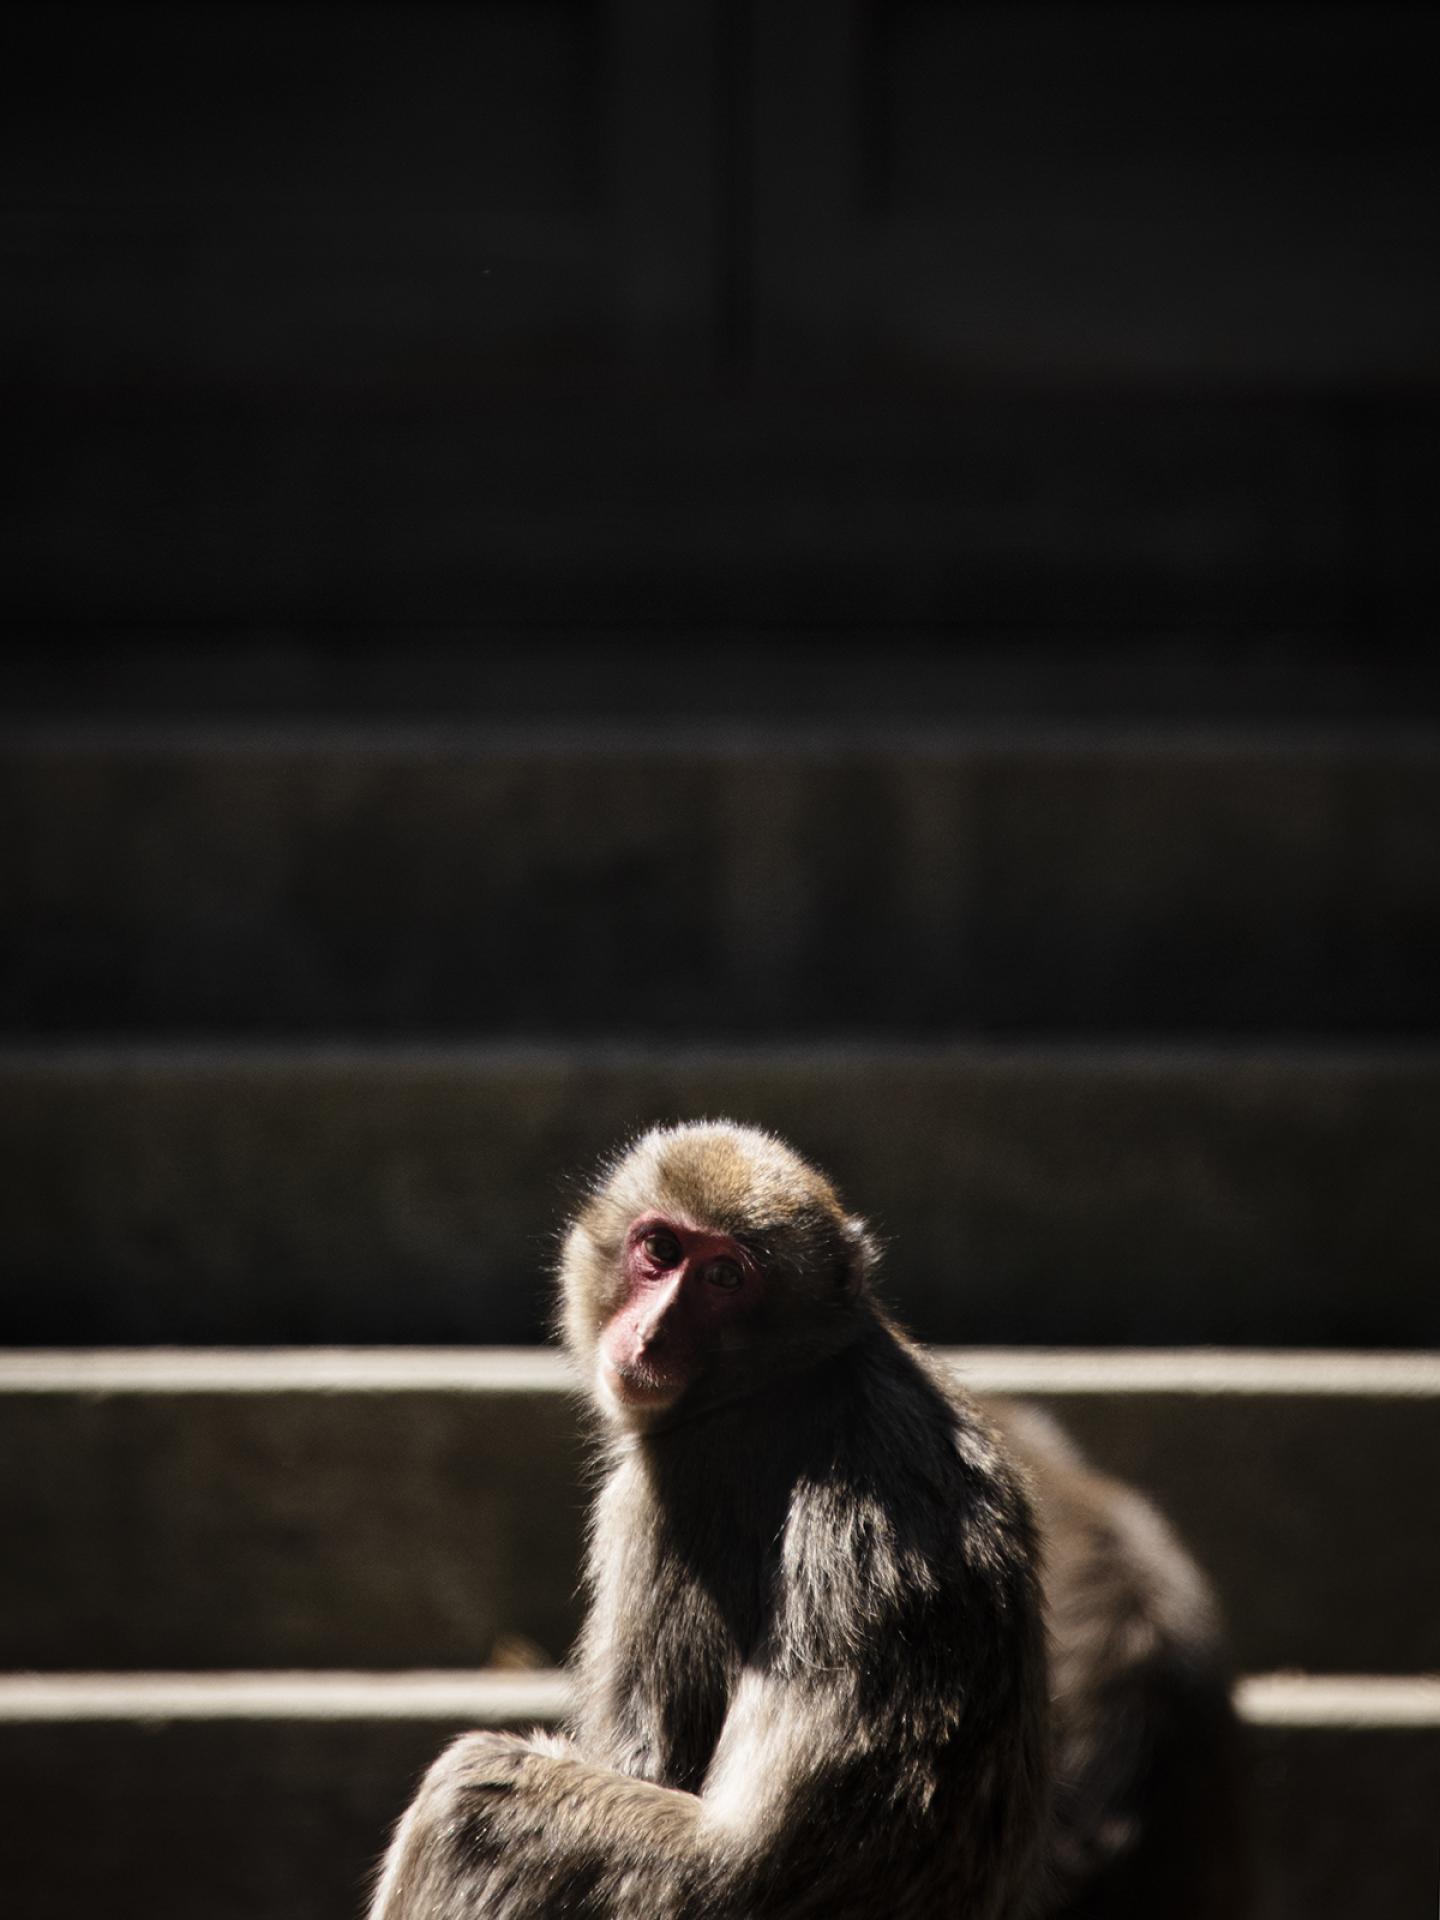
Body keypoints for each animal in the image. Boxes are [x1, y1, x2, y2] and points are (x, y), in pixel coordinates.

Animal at [370, 1121, 1244, 1920]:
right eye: (661, 1250)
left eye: (726, 1276)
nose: (652, 1334)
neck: (788, 1371)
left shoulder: (675, 1493)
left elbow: (642, 1759)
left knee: (472, 1802)